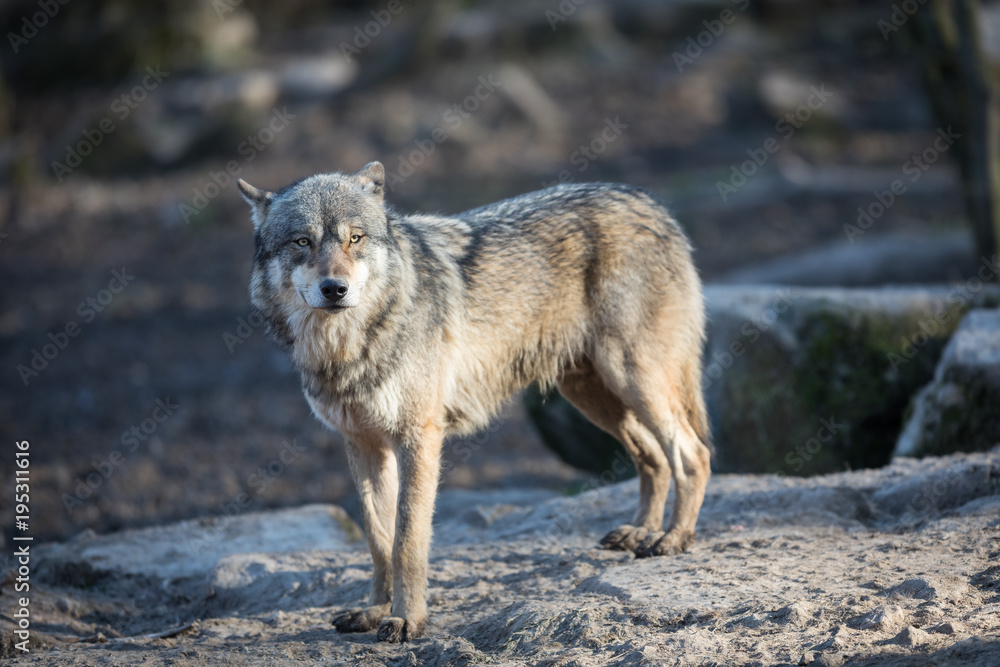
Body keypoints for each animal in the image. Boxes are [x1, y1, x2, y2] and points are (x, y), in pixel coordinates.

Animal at [237, 162, 712, 642]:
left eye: (355, 238)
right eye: (303, 241)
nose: (335, 288)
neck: (349, 344)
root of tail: (648, 200)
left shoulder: (420, 438)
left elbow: (407, 540)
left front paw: (407, 619)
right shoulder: (362, 444)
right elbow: (377, 539)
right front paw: (373, 612)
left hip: (632, 378)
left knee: (693, 453)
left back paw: (672, 538)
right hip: (594, 396)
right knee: (653, 456)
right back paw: (641, 532)